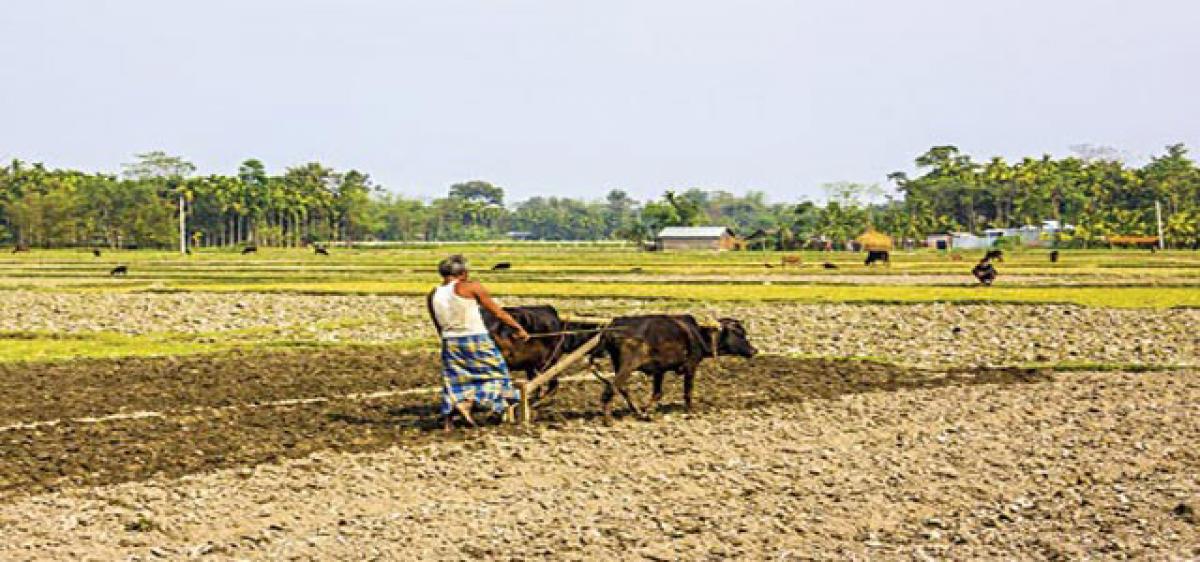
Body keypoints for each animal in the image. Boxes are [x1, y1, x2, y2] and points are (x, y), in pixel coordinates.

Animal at [595, 312, 753, 422]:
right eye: (739, 333)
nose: (754, 350)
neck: (698, 335)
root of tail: (609, 330)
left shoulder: (659, 371)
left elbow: (657, 393)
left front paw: (644, 410)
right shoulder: (691, 366)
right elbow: (687, 392)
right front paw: (691, 411)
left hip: (618, 365)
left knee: (620, 388)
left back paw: (635, 411)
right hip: (627, 366)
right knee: (611, 389)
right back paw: (608, 420)